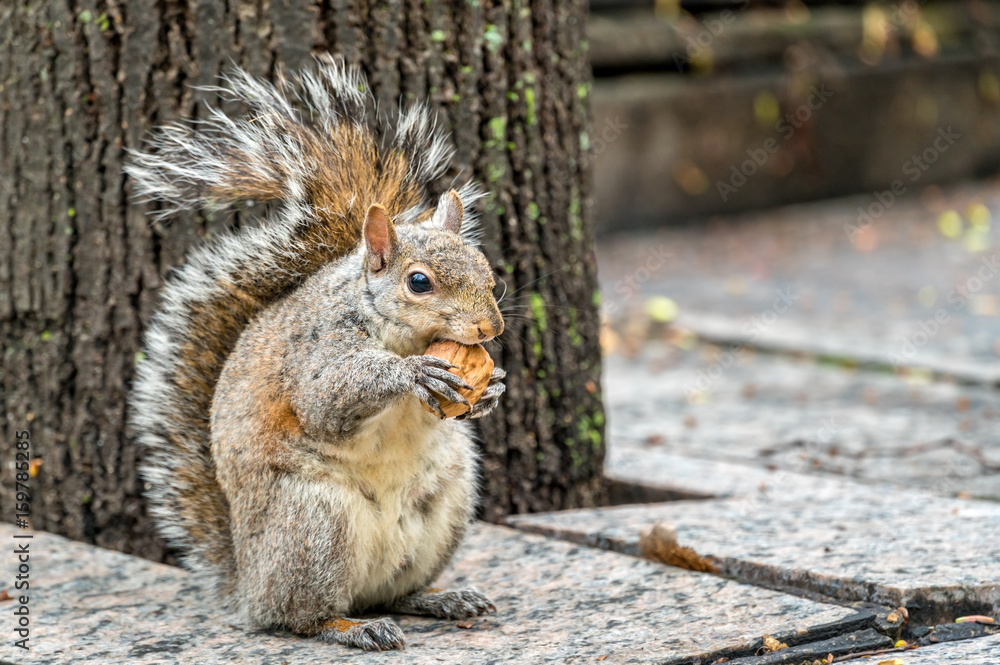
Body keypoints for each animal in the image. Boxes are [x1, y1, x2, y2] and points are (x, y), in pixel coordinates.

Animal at [128, 59, 508, 652]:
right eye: (419, 282)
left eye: (489, 273)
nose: (491, 326)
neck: (393, 328)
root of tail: (248, 585)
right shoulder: (317, 347)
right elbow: (325, 401)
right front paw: (411, 374)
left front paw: (491, 390)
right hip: (314, 523)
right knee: (302, 617)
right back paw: (353, 627)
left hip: (446, 504)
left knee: (396, 592)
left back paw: (441, 598)